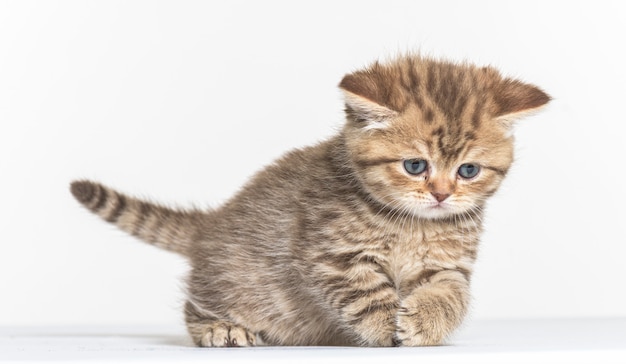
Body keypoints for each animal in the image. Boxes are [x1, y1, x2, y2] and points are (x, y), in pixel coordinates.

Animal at [69, 54, 544, 346]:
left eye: (468, 171)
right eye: (414, 166)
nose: (442, 195)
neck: (410, 224)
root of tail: (213, 223)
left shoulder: (449, 265)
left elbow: (452, 295)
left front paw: (423, 324)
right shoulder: (331, 254)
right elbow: (366, 294)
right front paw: (382, 329)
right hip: (238, 283)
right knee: (195, 302)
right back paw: (220, 329)